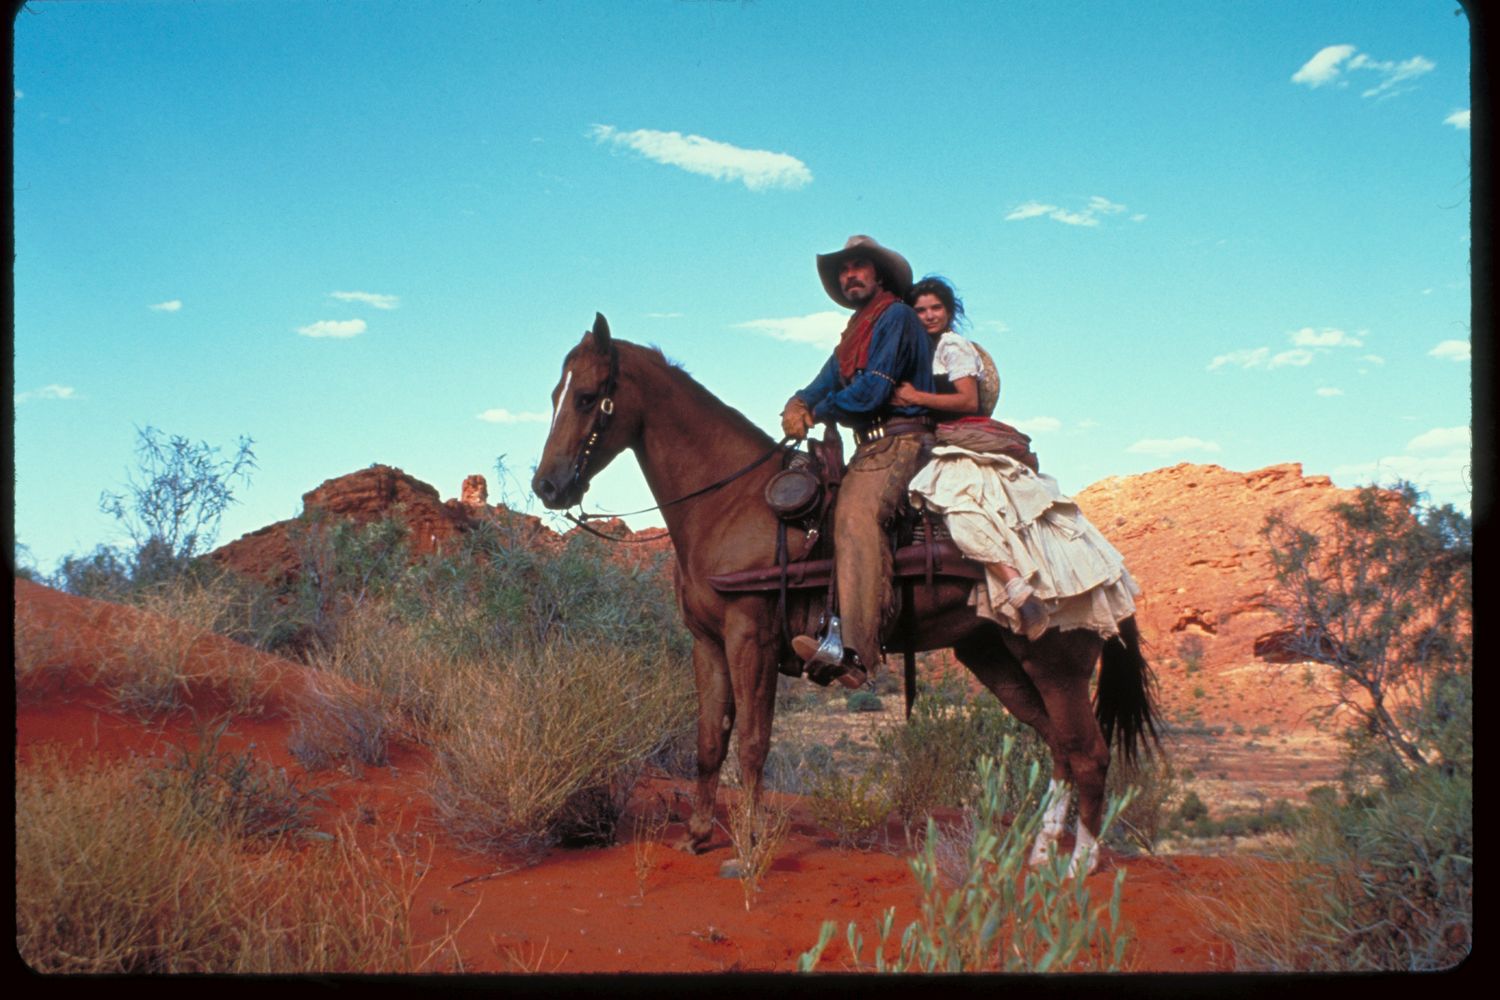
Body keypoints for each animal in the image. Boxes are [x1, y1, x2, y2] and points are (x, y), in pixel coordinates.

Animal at [531, 314, 1158, 875]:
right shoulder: (706, 643)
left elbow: (752, 742)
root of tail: (1110, 563)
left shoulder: (751, 637)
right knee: (1059, 748)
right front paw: (699, 836)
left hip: (1056, 663)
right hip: (995, 658)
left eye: (586, 397)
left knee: (1088, 753)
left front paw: (748, 848)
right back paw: (1039, 855)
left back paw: (1078, 865)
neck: (731, 503)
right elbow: (709, 740)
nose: (547, 485)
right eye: (556, 393)